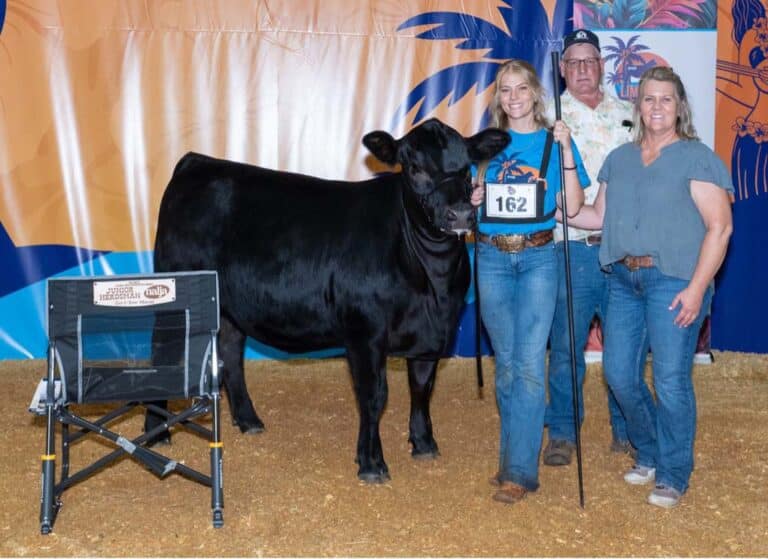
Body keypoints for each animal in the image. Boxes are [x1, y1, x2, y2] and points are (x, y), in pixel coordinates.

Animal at [147, 118, 510, 483]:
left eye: (465, 168)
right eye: (415, 168)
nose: (460, 214)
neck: (431, 279)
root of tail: (196, 162)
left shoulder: (433, 331)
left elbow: (422, 386)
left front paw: (424, 443)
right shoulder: (365, 332)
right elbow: (374, 395)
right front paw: (371, 463)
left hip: (230, 307)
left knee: (231, 353)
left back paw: (249, 421)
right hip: (174, 298)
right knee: (163, 355)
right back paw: (158, 433)